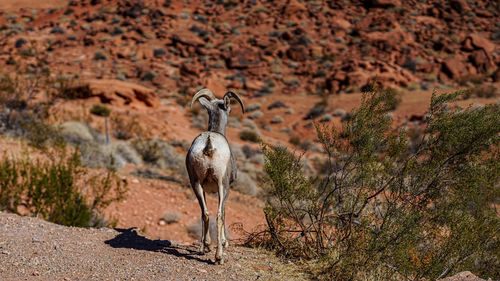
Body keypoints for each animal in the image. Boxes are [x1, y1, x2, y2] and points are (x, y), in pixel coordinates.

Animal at [186, 87, 244, 262]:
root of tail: (208, 144)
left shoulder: (204, 188)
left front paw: (204, 246)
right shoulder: (227, 187)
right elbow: (224, 213)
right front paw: (225, 243)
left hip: (196, 184)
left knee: (204, 213)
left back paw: (204, 248)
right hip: (221, 185)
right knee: (218, 215)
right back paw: (219, 256)